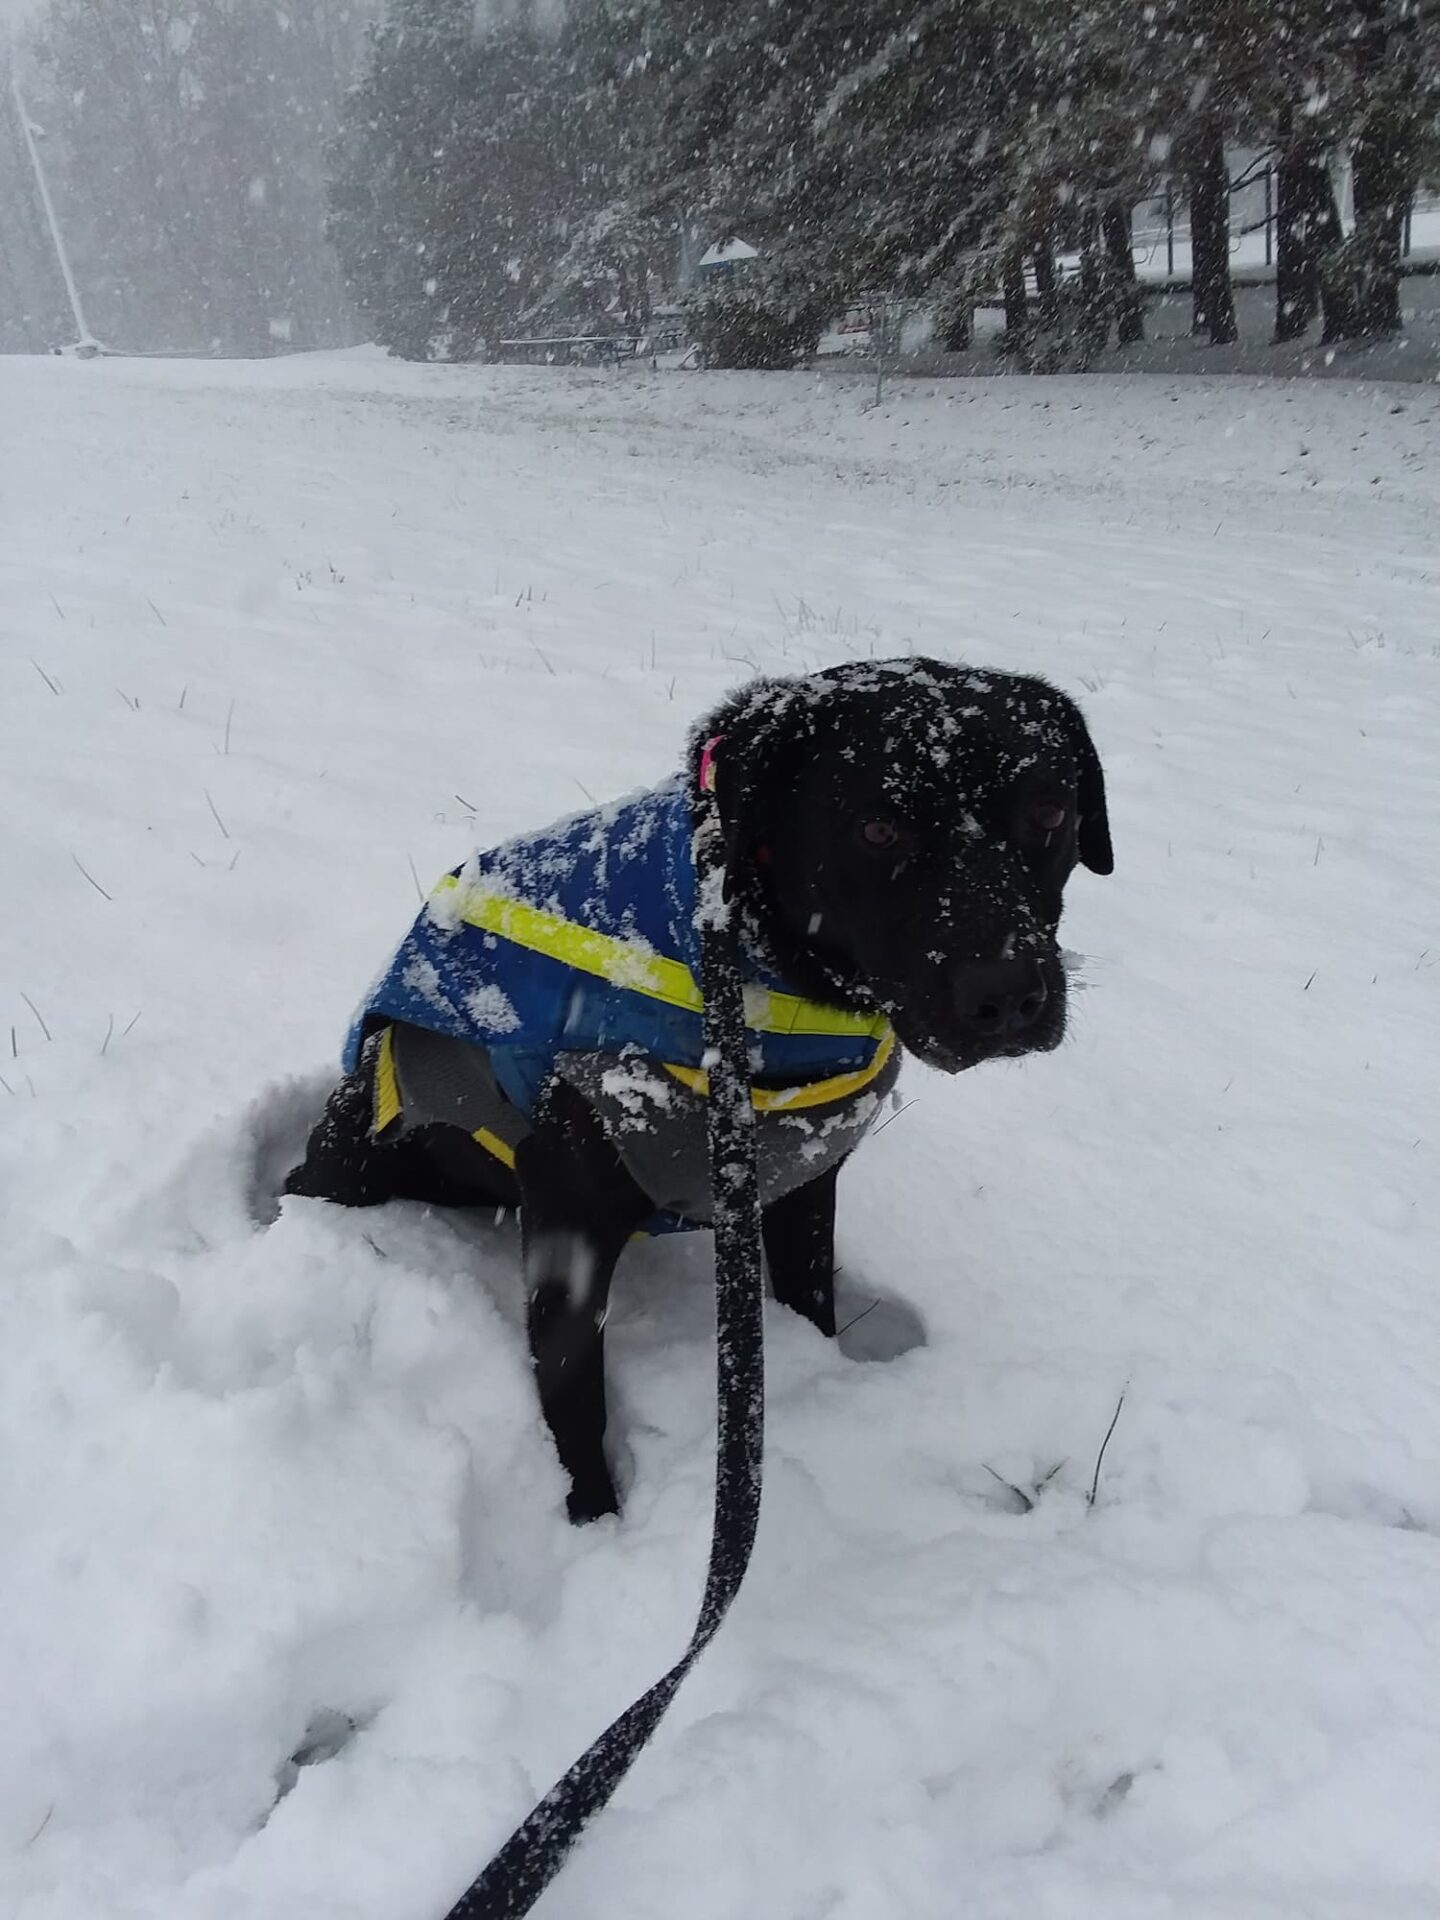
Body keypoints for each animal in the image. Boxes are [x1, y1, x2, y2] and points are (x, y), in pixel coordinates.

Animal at [284, 660, 1113, 1512]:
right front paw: (595, 1519)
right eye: (878, 829)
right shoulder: (567, 1214)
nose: (1008, 996)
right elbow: (574, 1395)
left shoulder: (802, 1183)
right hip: (359, 1154)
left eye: (1050, 811)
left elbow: (812, 1298)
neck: (761, 984)